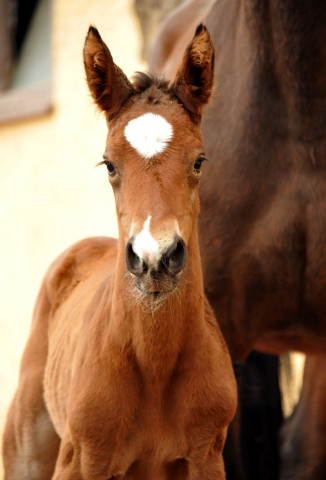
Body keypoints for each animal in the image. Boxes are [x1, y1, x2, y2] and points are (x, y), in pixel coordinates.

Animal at [1, 25, 237, 480]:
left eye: (199, 161)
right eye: (108, 164)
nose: (154, 259)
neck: (155, 368)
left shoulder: (207, 457)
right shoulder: (81, 459)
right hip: (27, 450)